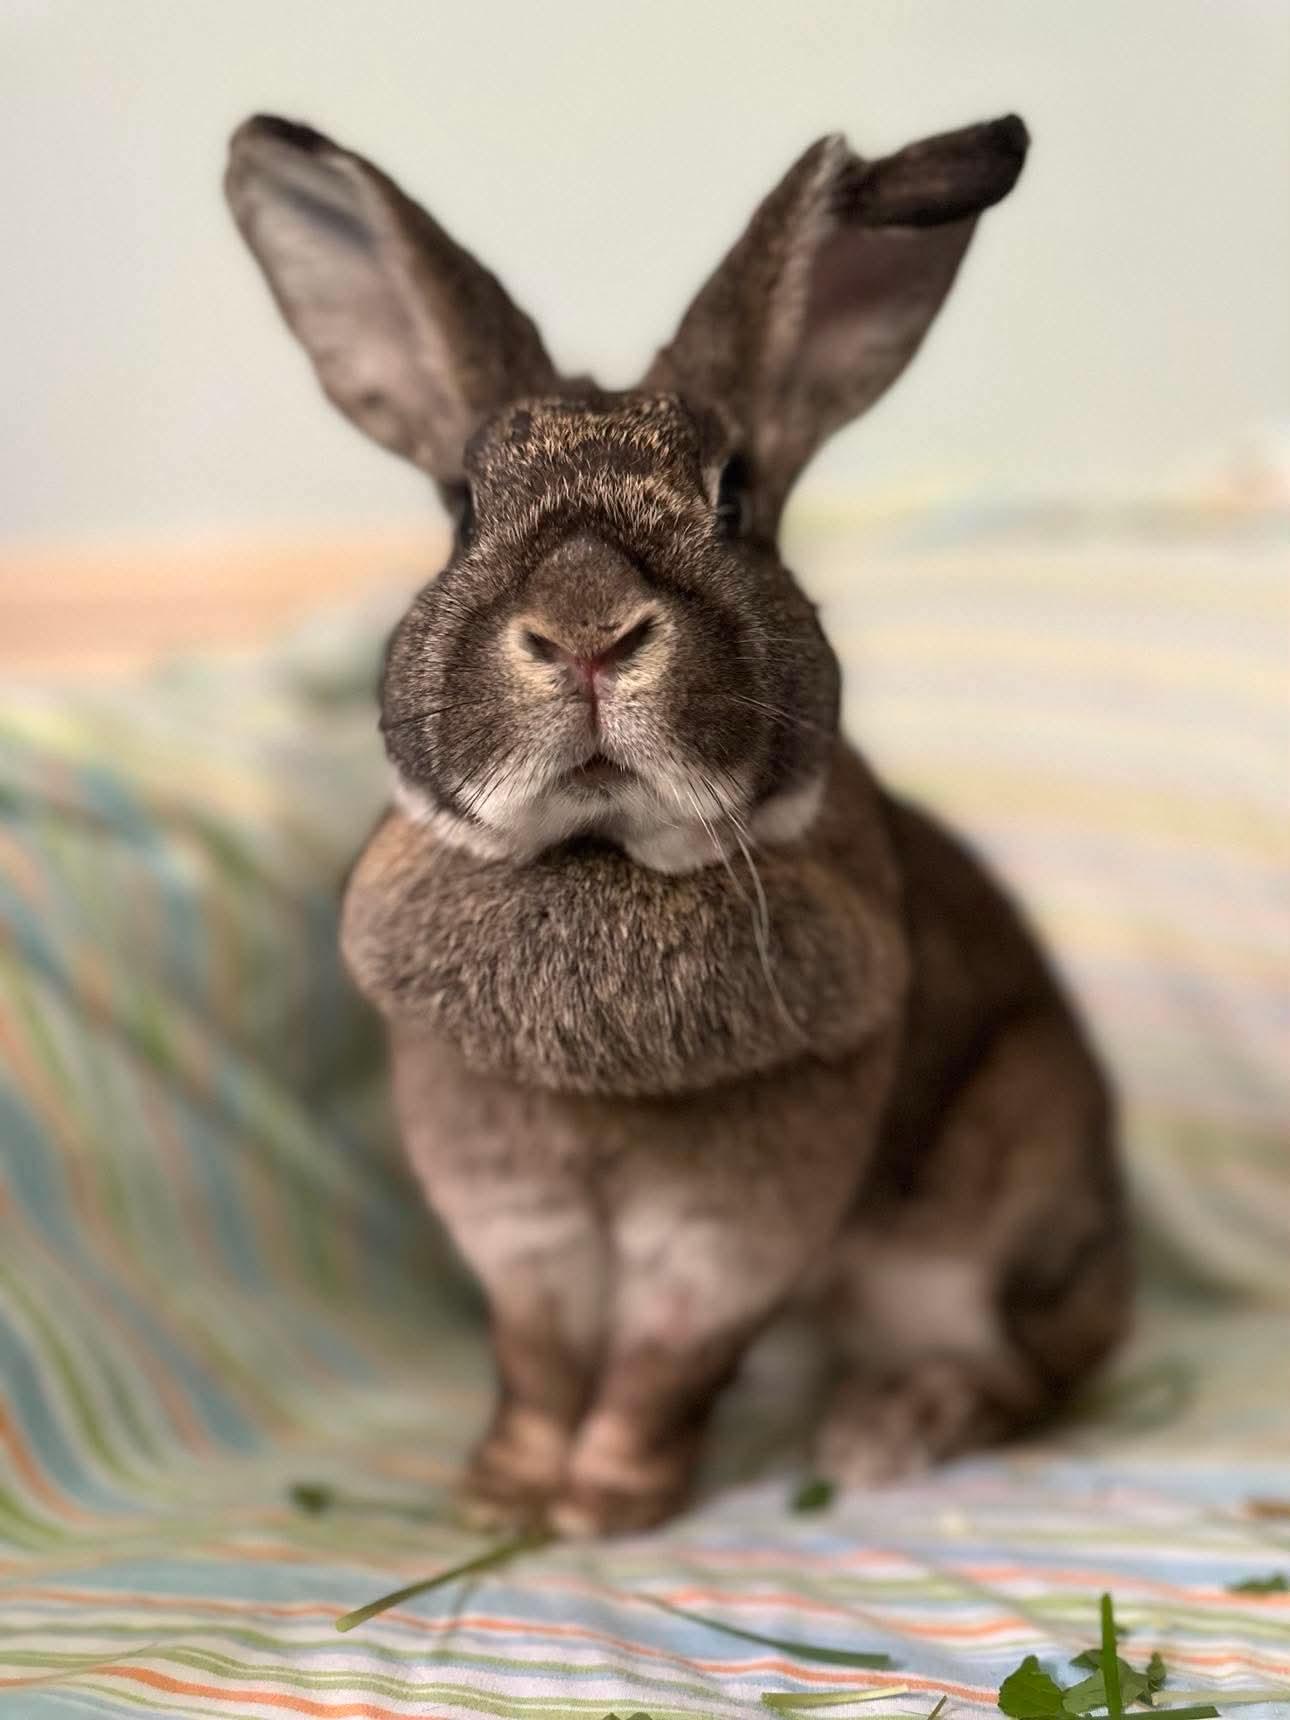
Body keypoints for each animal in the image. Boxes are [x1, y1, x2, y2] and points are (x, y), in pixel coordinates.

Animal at [226, 110, 1132, 1536]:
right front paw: (502, 1494)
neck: (598, 855)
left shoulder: (732, 1236)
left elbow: (661, 1366)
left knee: (1030, 1369)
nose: (589, 630)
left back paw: (884, 1430)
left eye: (734, 499)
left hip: (979, 1212)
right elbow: (539, 1357)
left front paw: (607, 1504)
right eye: (462, 508)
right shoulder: (514, 1218)